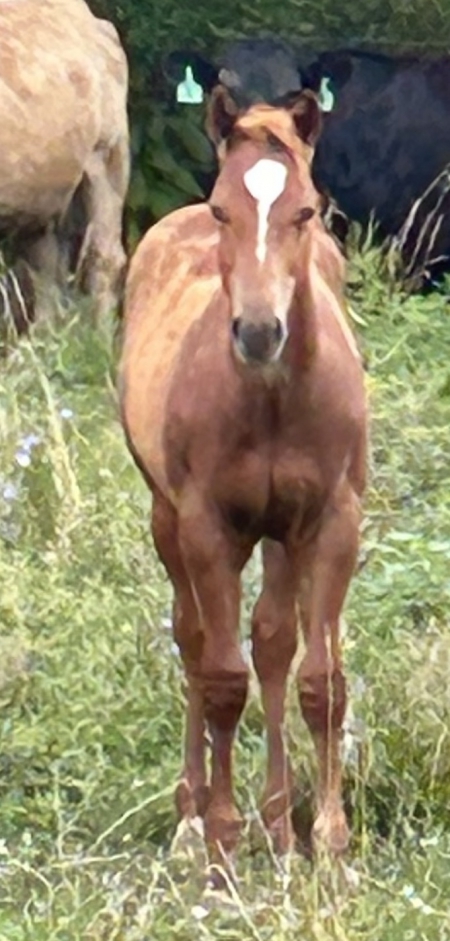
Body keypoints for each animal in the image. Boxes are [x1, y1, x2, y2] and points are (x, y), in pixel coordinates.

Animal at [119, 86, 367, 870]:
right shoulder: (206, 526)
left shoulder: (332, 522)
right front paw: (222, 842)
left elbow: (320, 679)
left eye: (307, 211)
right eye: (224, 209)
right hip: (168, 519)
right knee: (196, 640)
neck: (271, 399)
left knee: (273, 641)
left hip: (282, 533)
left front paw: (329, 842)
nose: (259, 333)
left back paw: (280, 824)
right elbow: (224, 677)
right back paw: (192, 821)